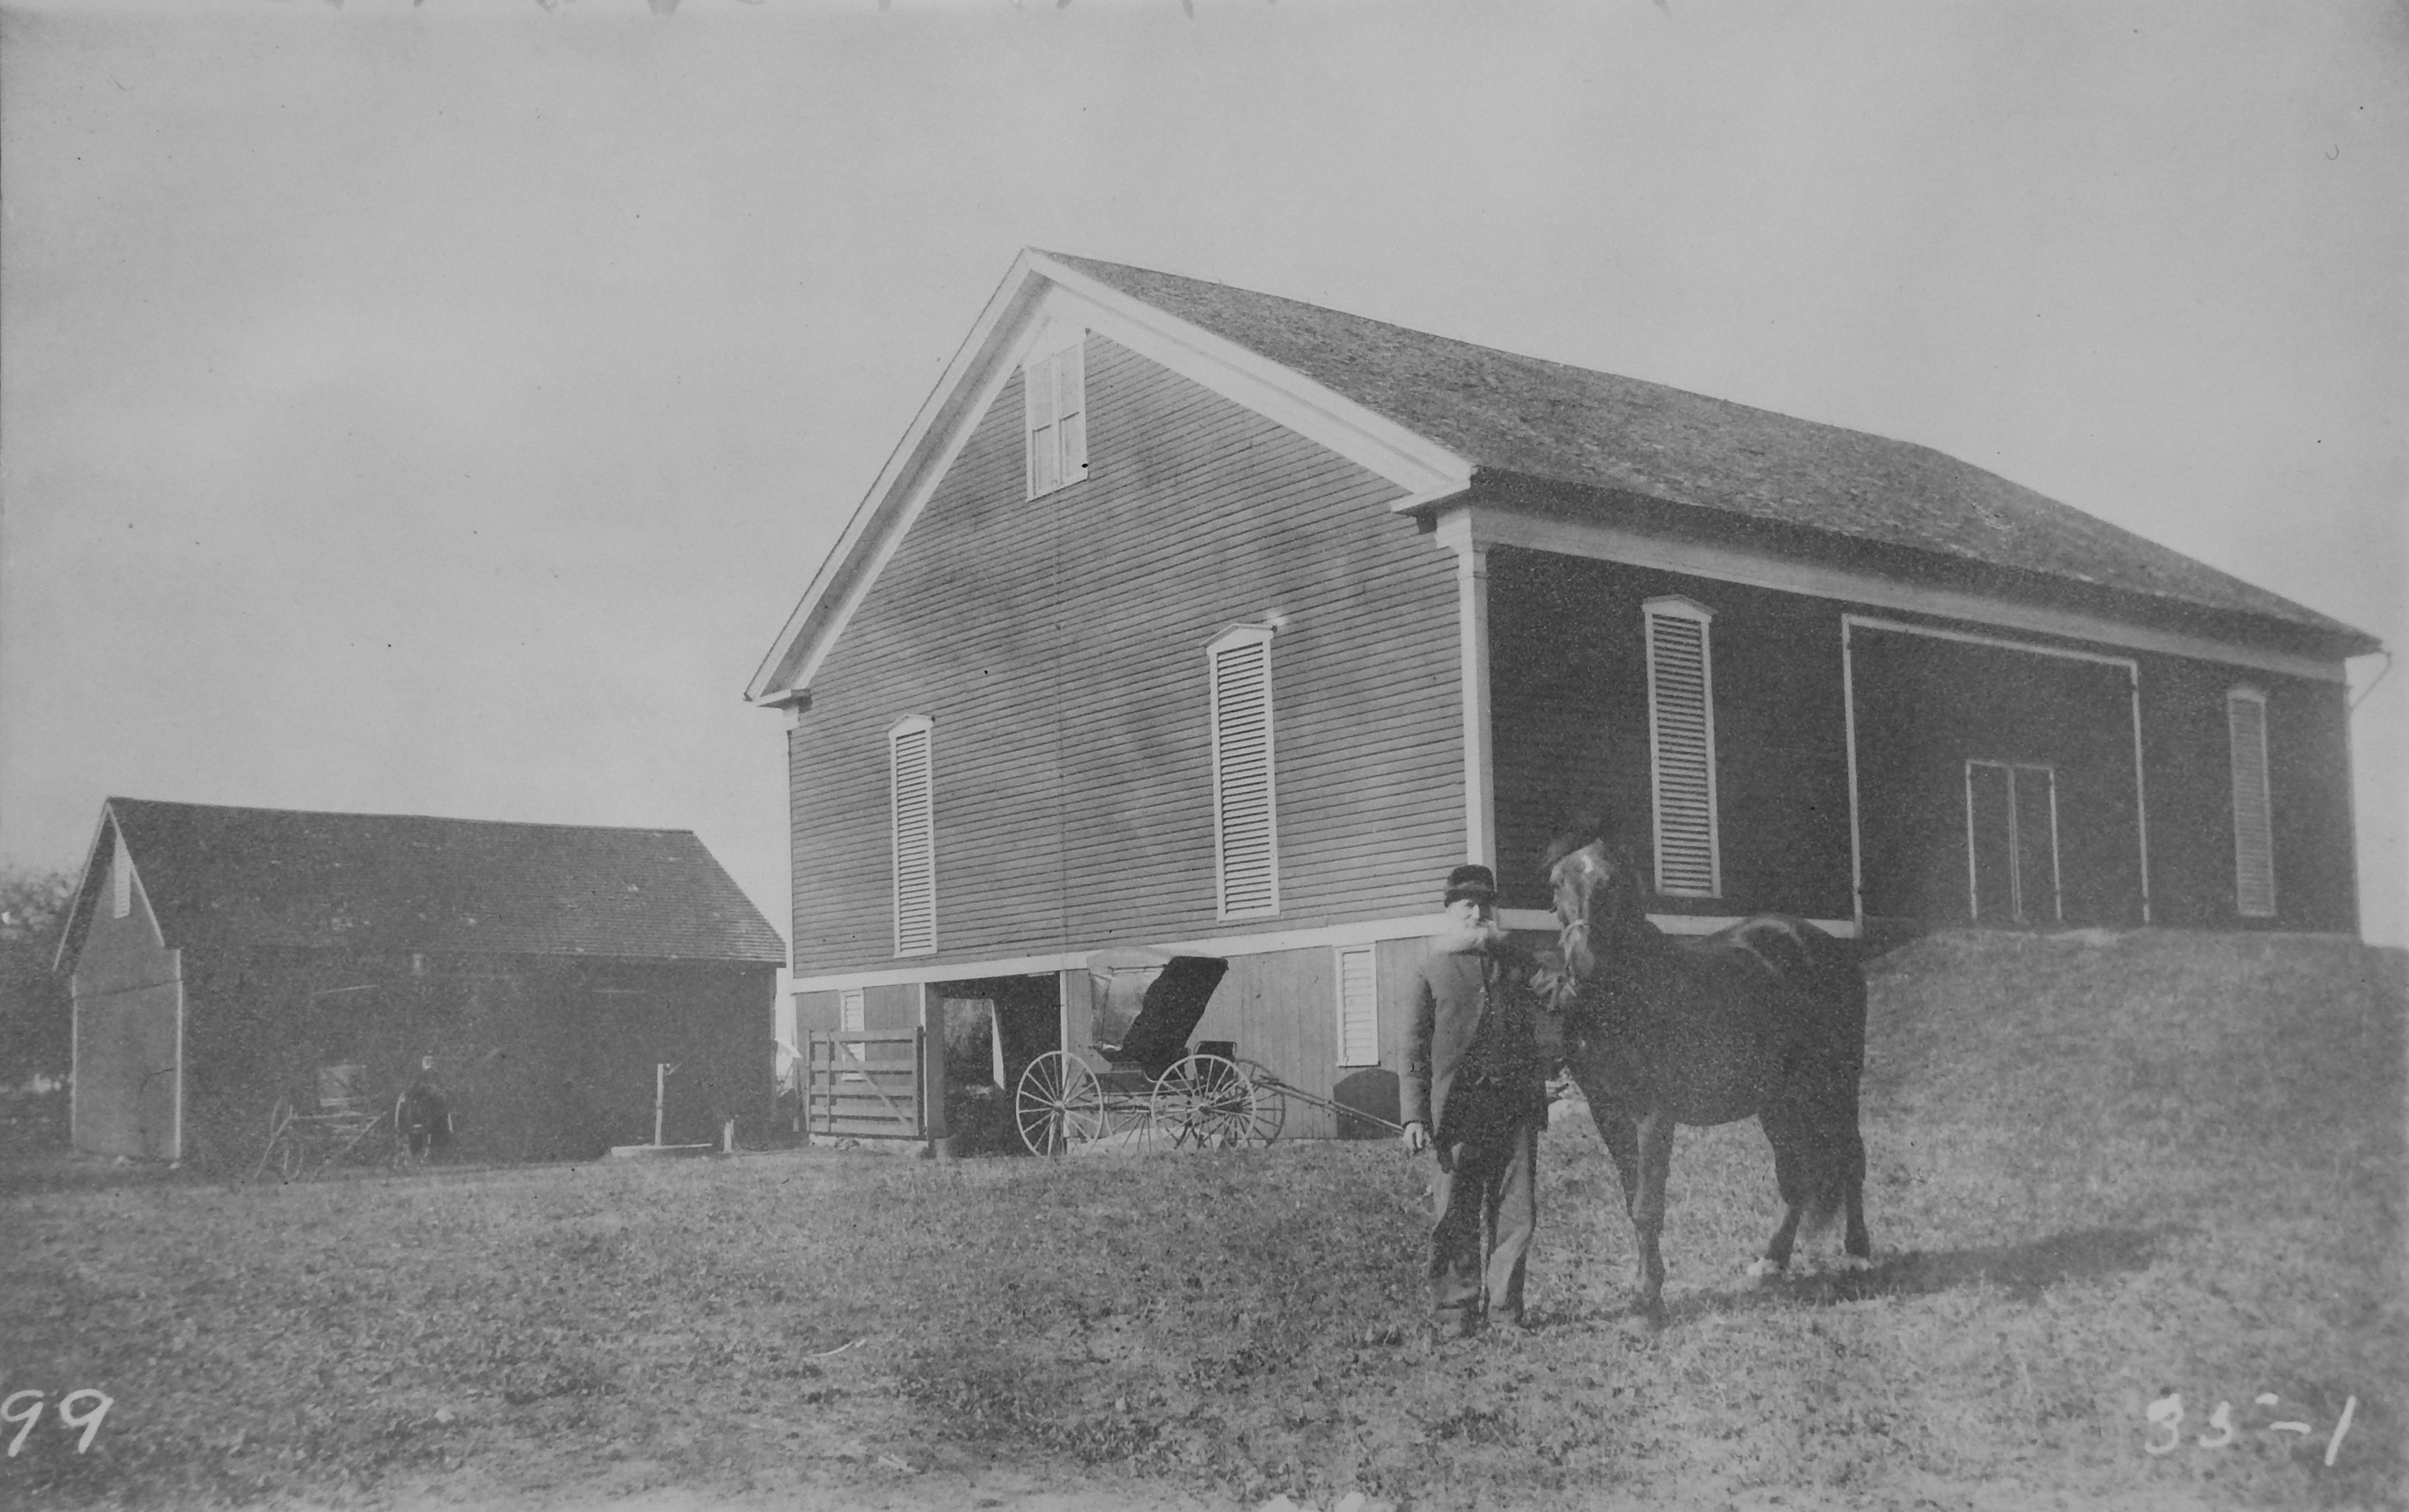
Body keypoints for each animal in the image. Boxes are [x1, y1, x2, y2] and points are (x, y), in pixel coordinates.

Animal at [1532, 828, 1869, 1310]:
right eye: (1556, 883)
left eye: (1612, 882)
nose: (1583, 966)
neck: (1628, 994)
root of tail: (1821, 945)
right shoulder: (1606, 1111)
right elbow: (1632, 1197)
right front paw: (1644, 1285)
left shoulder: (1652, 1113)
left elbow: (1647, 1205)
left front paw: (1647, 1299)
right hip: (1779, 1102)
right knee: (1794, 1178)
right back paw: (1773, 1261)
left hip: (1839, 1083)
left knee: (1852, 1158)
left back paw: (1858, 1254)